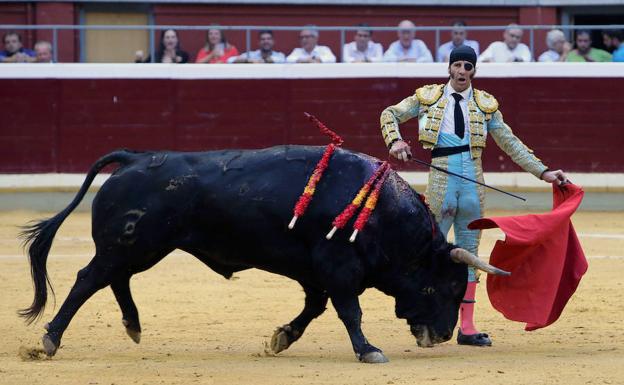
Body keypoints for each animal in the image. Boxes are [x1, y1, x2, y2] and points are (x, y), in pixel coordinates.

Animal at [19, 146, 508, 362]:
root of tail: (135, 159)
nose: (442, 334)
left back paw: (134, 326)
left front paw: (281, 338)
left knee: (115, 279)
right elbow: (349, 311)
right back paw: (51, 340)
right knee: (88, 279)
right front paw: (368, 350)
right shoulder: (338, 268)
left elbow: (314, 309)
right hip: (129, 244)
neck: (383, 216)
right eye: (447, 287)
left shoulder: (316, 273)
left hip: (138, 247)